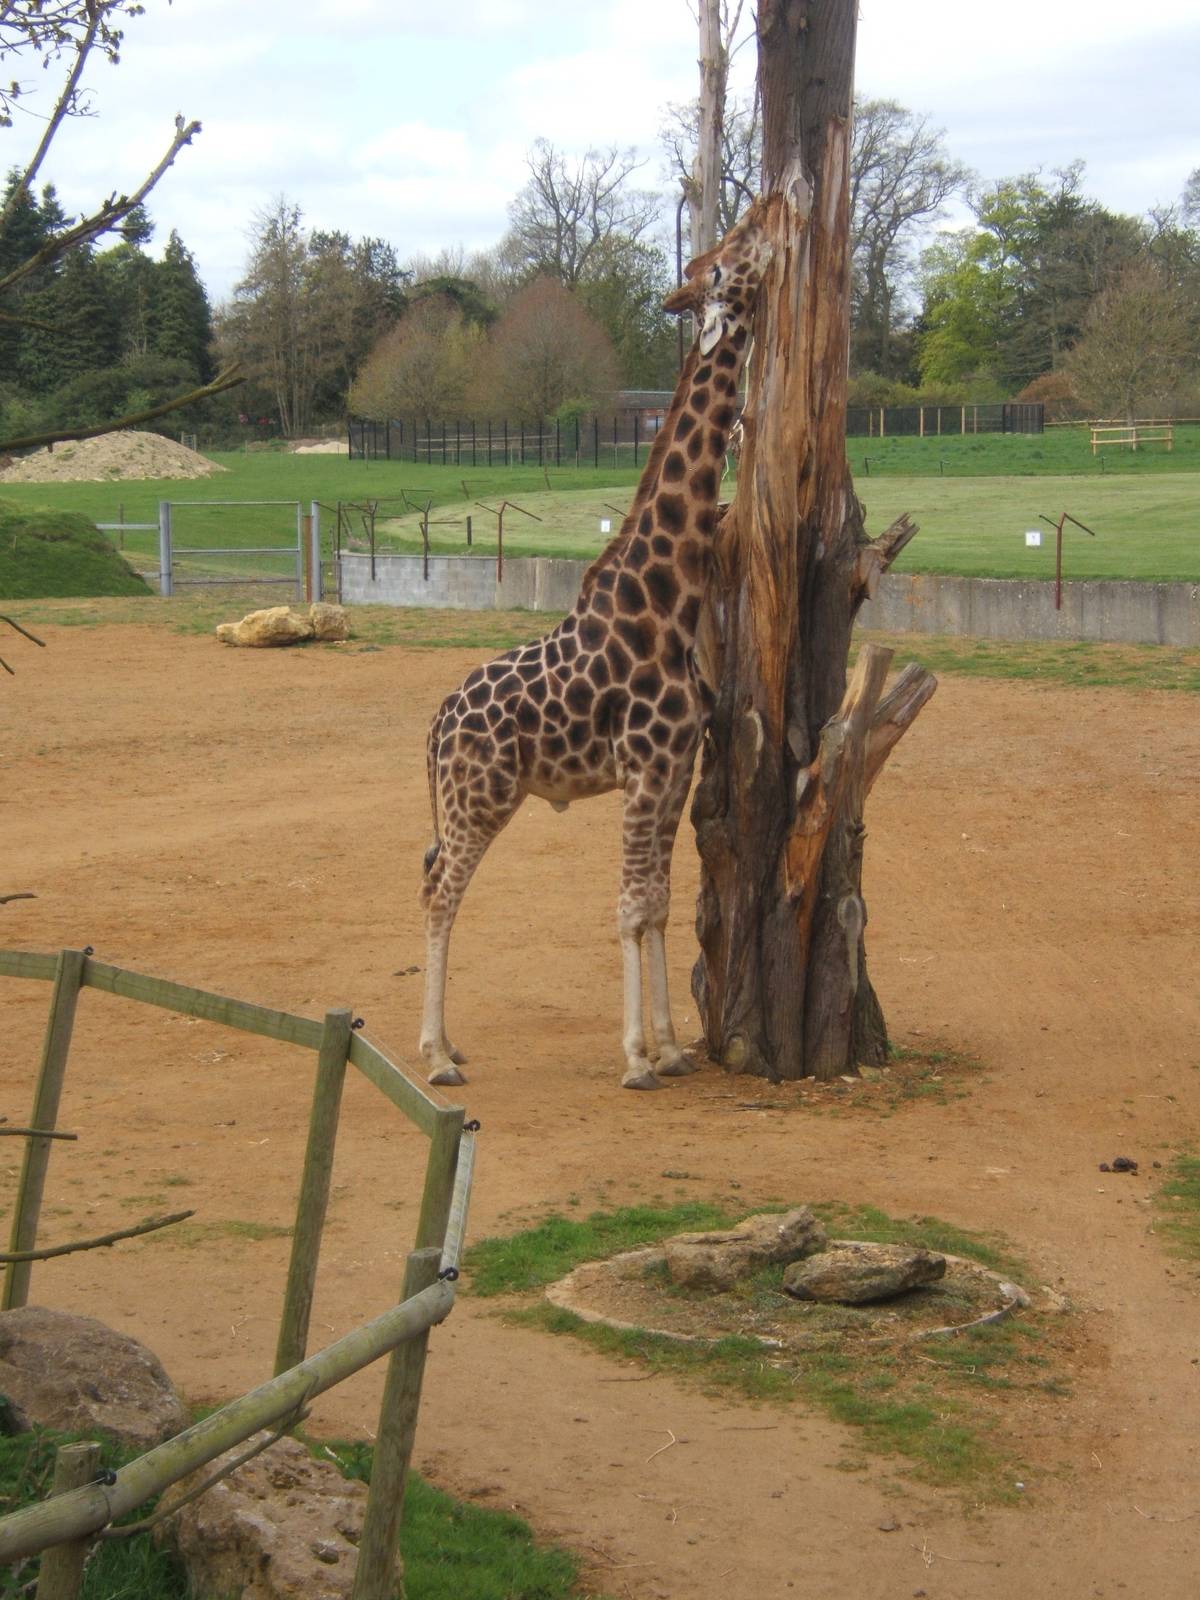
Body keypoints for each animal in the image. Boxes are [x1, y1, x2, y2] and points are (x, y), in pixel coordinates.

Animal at [418, 202, 773, 1091]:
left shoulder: (675, 770)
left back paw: (452, 1044)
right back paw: (436, 1056)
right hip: (479, 798)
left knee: (431, 881)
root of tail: (433, 727)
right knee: (440, 891)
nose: (770, 211)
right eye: (727, 255)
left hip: (473, 798)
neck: (667, 600)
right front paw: (636, 1057)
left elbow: (659, 903)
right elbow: (627, 905)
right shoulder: (644, 769)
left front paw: (673, 1047)